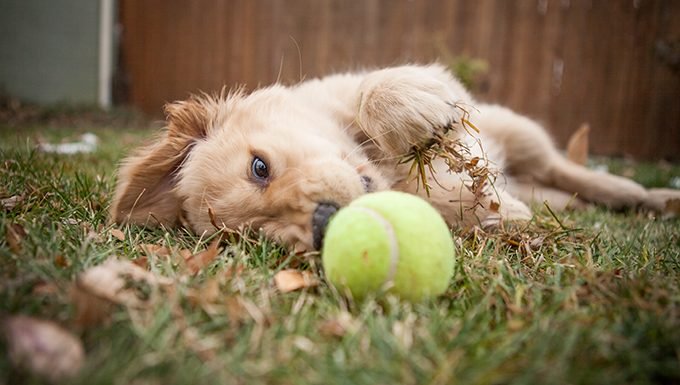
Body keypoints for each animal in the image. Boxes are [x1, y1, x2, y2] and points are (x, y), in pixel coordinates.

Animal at [110, 63, 676, 249]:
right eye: (253, 237)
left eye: (259, 167)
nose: (324, 226)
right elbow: (462, 205)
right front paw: (495, 211)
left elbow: (374, 93)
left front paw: (414, 110)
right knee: (562, 189)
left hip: (521, 132)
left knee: (572, 170)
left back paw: (648, 196)